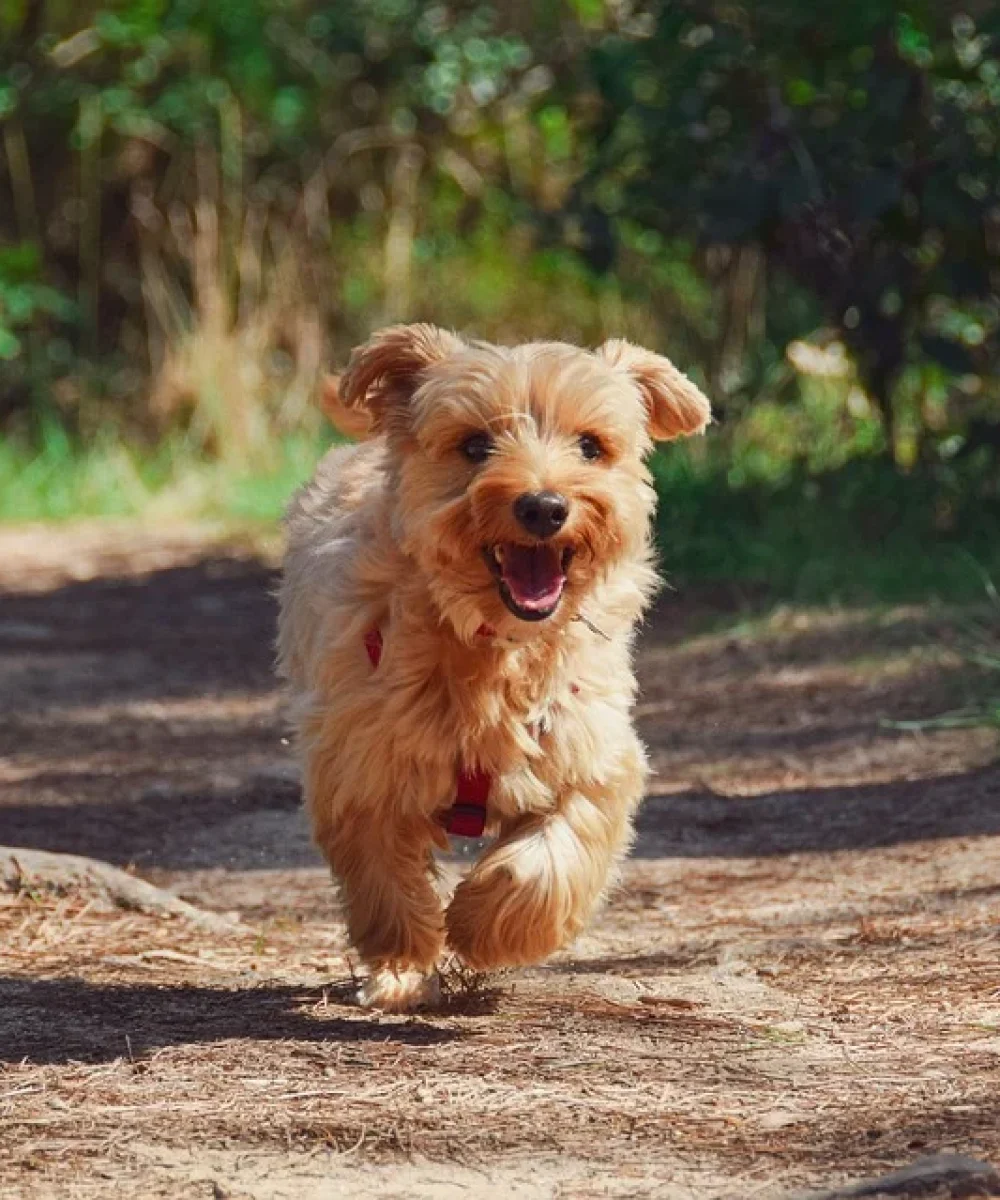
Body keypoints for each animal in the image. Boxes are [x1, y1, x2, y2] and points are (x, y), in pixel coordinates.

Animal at [274, 324, 710, 1008]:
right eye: (475, 445)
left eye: (591, 446)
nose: (544, 506)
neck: (495, 647)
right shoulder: (361, 763)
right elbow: (384, 878)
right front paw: (402, 964)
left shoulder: (591, 754)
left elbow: (552, 856)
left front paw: (482, 925)